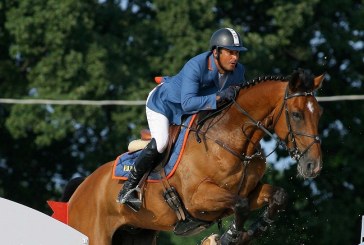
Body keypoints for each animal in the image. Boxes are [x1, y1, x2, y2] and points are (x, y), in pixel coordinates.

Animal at [59, 68, 324, 244]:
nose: (314, 166)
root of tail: (82, 188)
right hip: (93, 235)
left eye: (318, 113)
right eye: (297, 114)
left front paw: (254, 230)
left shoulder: (250, 190)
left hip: (136, 235)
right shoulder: (198, 199)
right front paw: (230, 236)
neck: (231, 141)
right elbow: (240, 205)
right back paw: (127, 194)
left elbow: (277, 196)